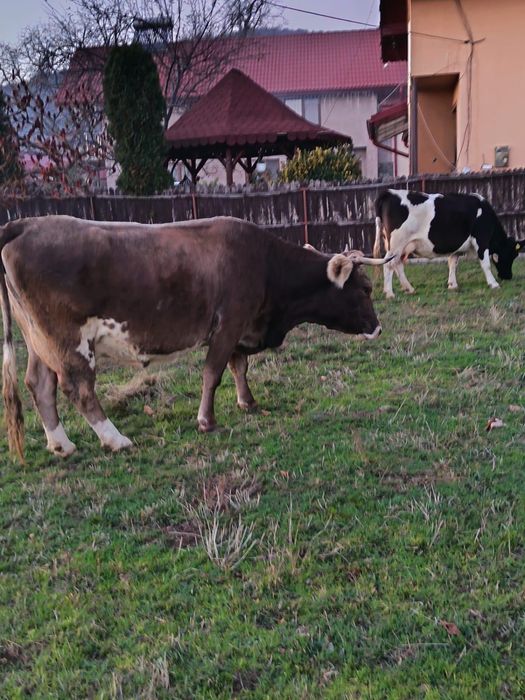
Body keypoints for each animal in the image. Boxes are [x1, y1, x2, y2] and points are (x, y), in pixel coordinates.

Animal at [1, 215, 388, 462]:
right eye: (365, 289)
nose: (378, 327)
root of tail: (26, 223)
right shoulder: (227, 324)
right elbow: (213, 373)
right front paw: (207, 420)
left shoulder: (239, 329)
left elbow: (239, 367)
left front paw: (247, 402)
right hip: (69, 341)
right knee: (78, 389)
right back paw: (115, 439)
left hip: (38, 341)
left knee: (40, 384)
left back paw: (61, 445)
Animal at [373, 189, 525, 298]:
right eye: (512, 255)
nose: (508, 276)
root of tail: (389, 192)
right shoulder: (481, 240)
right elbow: (485, 264)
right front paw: (493, 284)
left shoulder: (456, 248)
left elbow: (452, 263)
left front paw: (452, 285)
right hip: (396, 245)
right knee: (389, 264)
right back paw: (389, 293)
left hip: (401, 247)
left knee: (397, 265)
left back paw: (409, 288)